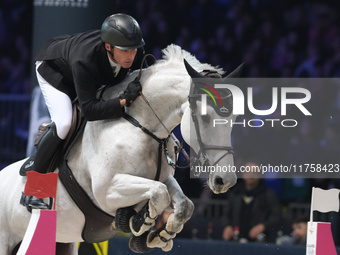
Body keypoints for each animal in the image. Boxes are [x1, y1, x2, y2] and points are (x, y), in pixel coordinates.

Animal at [0, 44, 239, 254]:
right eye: (205, 117)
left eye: (235, 119)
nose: (225, 181)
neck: (139, 125)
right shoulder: (106, 191)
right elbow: (158, 193)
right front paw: (139, 222)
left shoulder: (163, 178)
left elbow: (184, 205)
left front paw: (159, 237)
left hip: (62, 243)